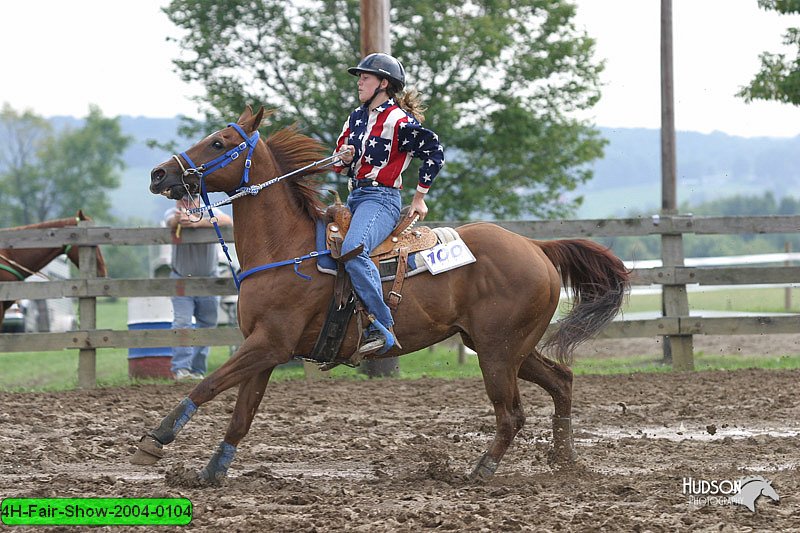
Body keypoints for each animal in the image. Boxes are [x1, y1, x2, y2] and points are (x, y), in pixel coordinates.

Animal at [134, 107, 628, 482]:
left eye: (218, 143)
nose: (159, 173)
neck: (286, 249)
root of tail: (536, 246)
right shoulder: (266, 350)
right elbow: (241, 414)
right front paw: (213, 471)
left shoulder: (268, 344)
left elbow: (208, 384)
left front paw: (155, 440)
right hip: (507, 346)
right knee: (561, 381)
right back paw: (564, 461)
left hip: (498, 350)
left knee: (511, 414)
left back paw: (481, 470)